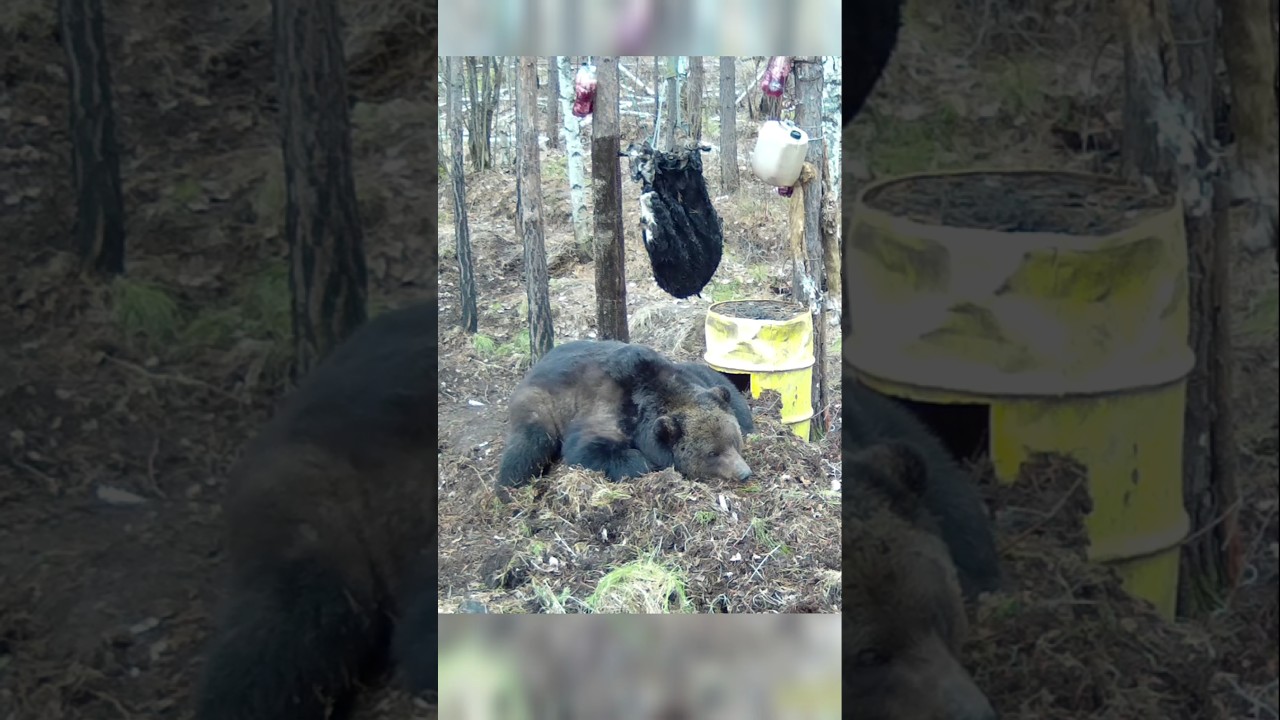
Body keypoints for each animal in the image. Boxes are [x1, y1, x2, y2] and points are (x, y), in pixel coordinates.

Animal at [496, 340, 753, 495]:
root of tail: (538, 364)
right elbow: (588, 448)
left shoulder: (695, 377)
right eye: (712, 453)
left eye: (733, 441)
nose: (743, 473)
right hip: (540, 403)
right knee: (529, 445)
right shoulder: (607, 409)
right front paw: (649, 464)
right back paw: (508, 488)